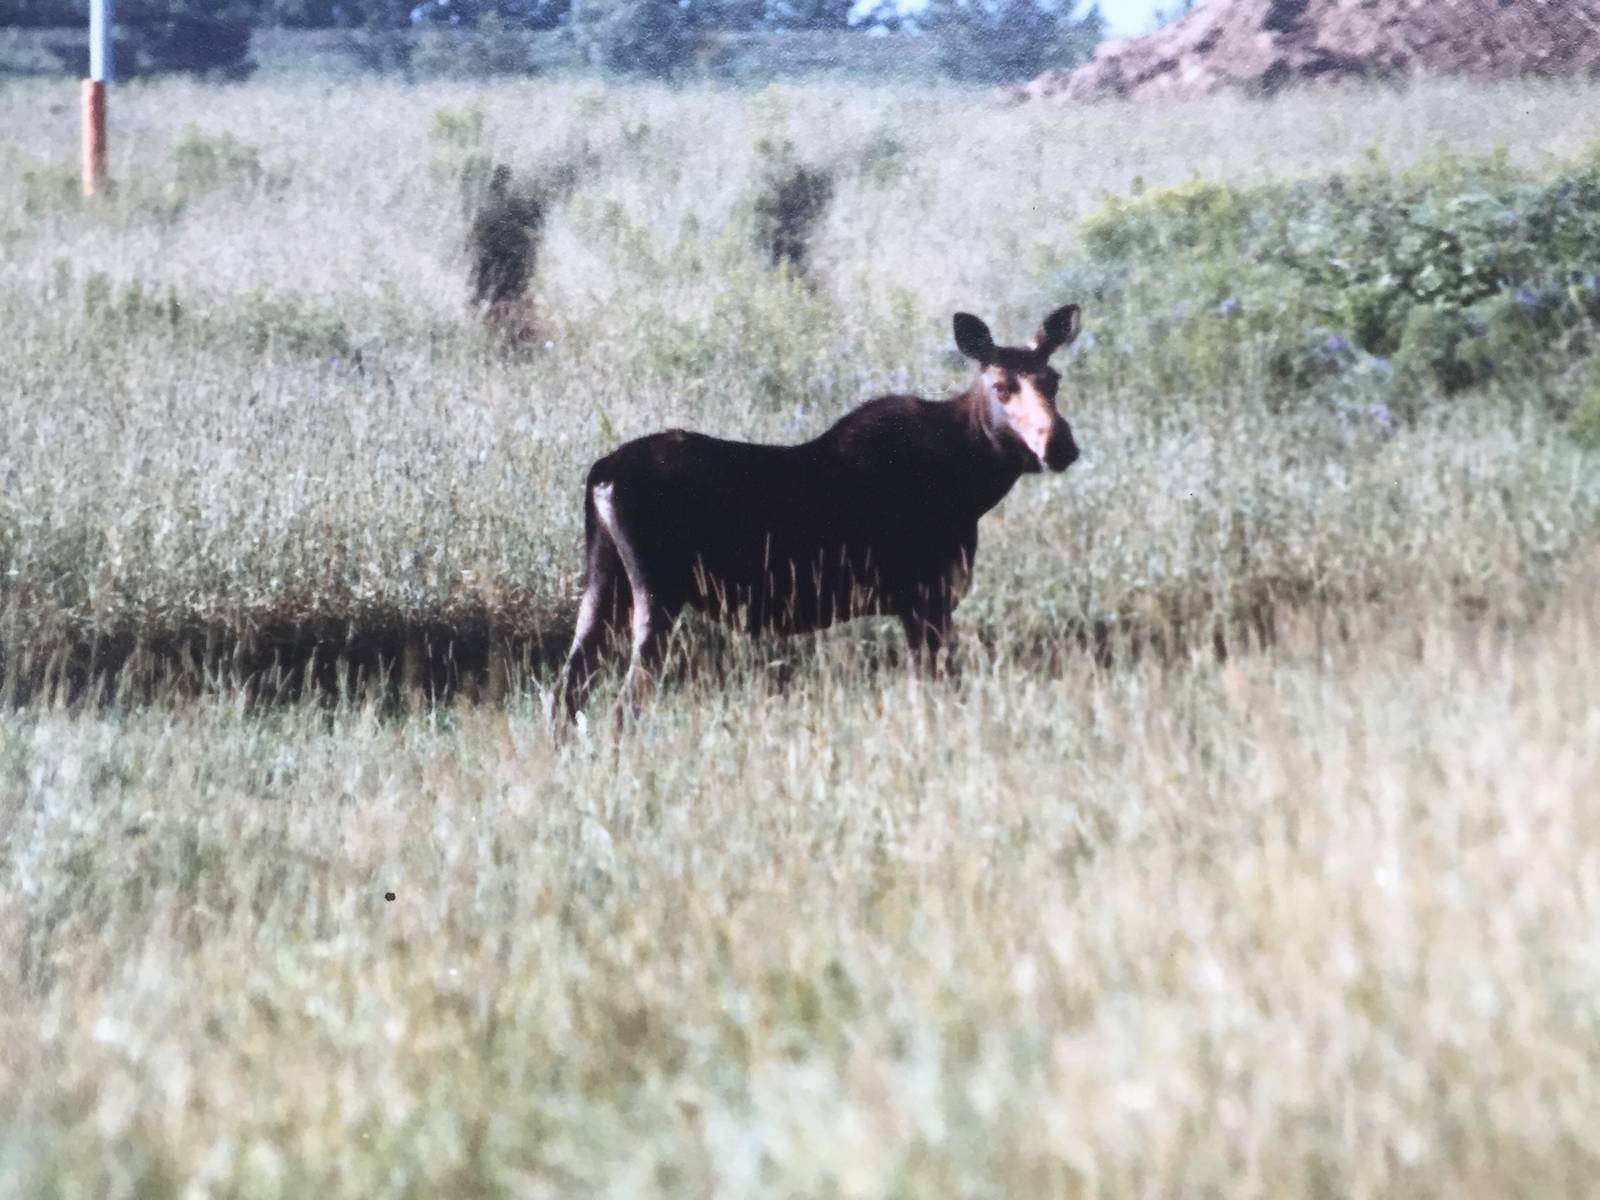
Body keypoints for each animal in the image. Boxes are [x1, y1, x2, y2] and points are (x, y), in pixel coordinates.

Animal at [548, 304, 1083, 727]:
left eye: (1054, 380)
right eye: (1001, 386)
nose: (1060, 445)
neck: (971, 483)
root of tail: (601, 475)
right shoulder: (925, 597)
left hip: (604, 580)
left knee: (566, 690)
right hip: (657, 592)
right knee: (623, 703)